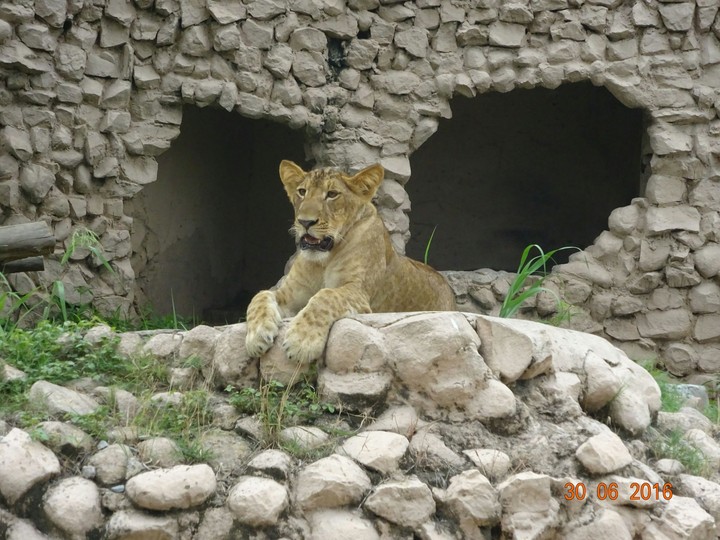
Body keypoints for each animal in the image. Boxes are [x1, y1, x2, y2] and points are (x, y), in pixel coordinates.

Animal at [245, 160, 456, 363]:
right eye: (302, 192)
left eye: (332, 194)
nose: (305, 222)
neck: (322, 261)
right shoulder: (290, 293)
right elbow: (260, 296)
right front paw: (256, 336)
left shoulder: (359, 293)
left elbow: (325, 296)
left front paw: (301, 342)